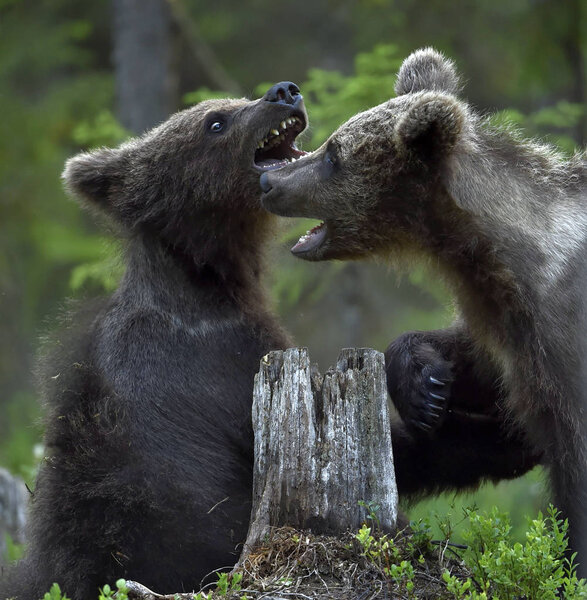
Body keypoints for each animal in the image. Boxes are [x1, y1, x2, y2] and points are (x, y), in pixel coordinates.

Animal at [0, 81, 540, 600]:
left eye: (236, 99)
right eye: (215, 121)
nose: (284, 91)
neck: (209, 284)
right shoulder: (222, 366)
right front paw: (500, 439)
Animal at [262, 48, 587, 576]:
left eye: (334, 154)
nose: (268, 179)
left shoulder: (561, 328)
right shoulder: (510, 330)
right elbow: (480, 373)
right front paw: (425, 387)